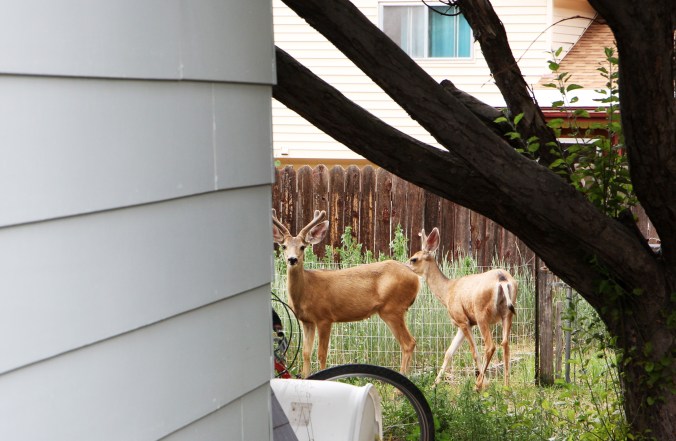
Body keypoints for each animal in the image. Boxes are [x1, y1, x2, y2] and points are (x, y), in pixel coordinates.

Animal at [272, 209, 420, 378]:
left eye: (303, 246)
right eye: (284, 246)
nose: (292, 259)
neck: (307, 290)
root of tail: (415, 277)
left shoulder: (325, 317)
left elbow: (321, 354)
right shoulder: (307, 321)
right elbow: (306, 353)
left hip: (392, 308)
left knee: (408, 343)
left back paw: (401, 382)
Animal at [407, 227, 518, 390]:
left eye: (414, 259)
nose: (403, 267)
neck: (447, 291)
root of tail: (502, 279)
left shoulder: (463, 320)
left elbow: (474, 352)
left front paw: (484, 383)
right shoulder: (463, 324)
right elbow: (449, 353)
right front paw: (434, 385)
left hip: (481, 313)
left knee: (490, 346)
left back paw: (477, 385)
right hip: (507, 313)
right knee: (505, 344)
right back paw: (506, 386)